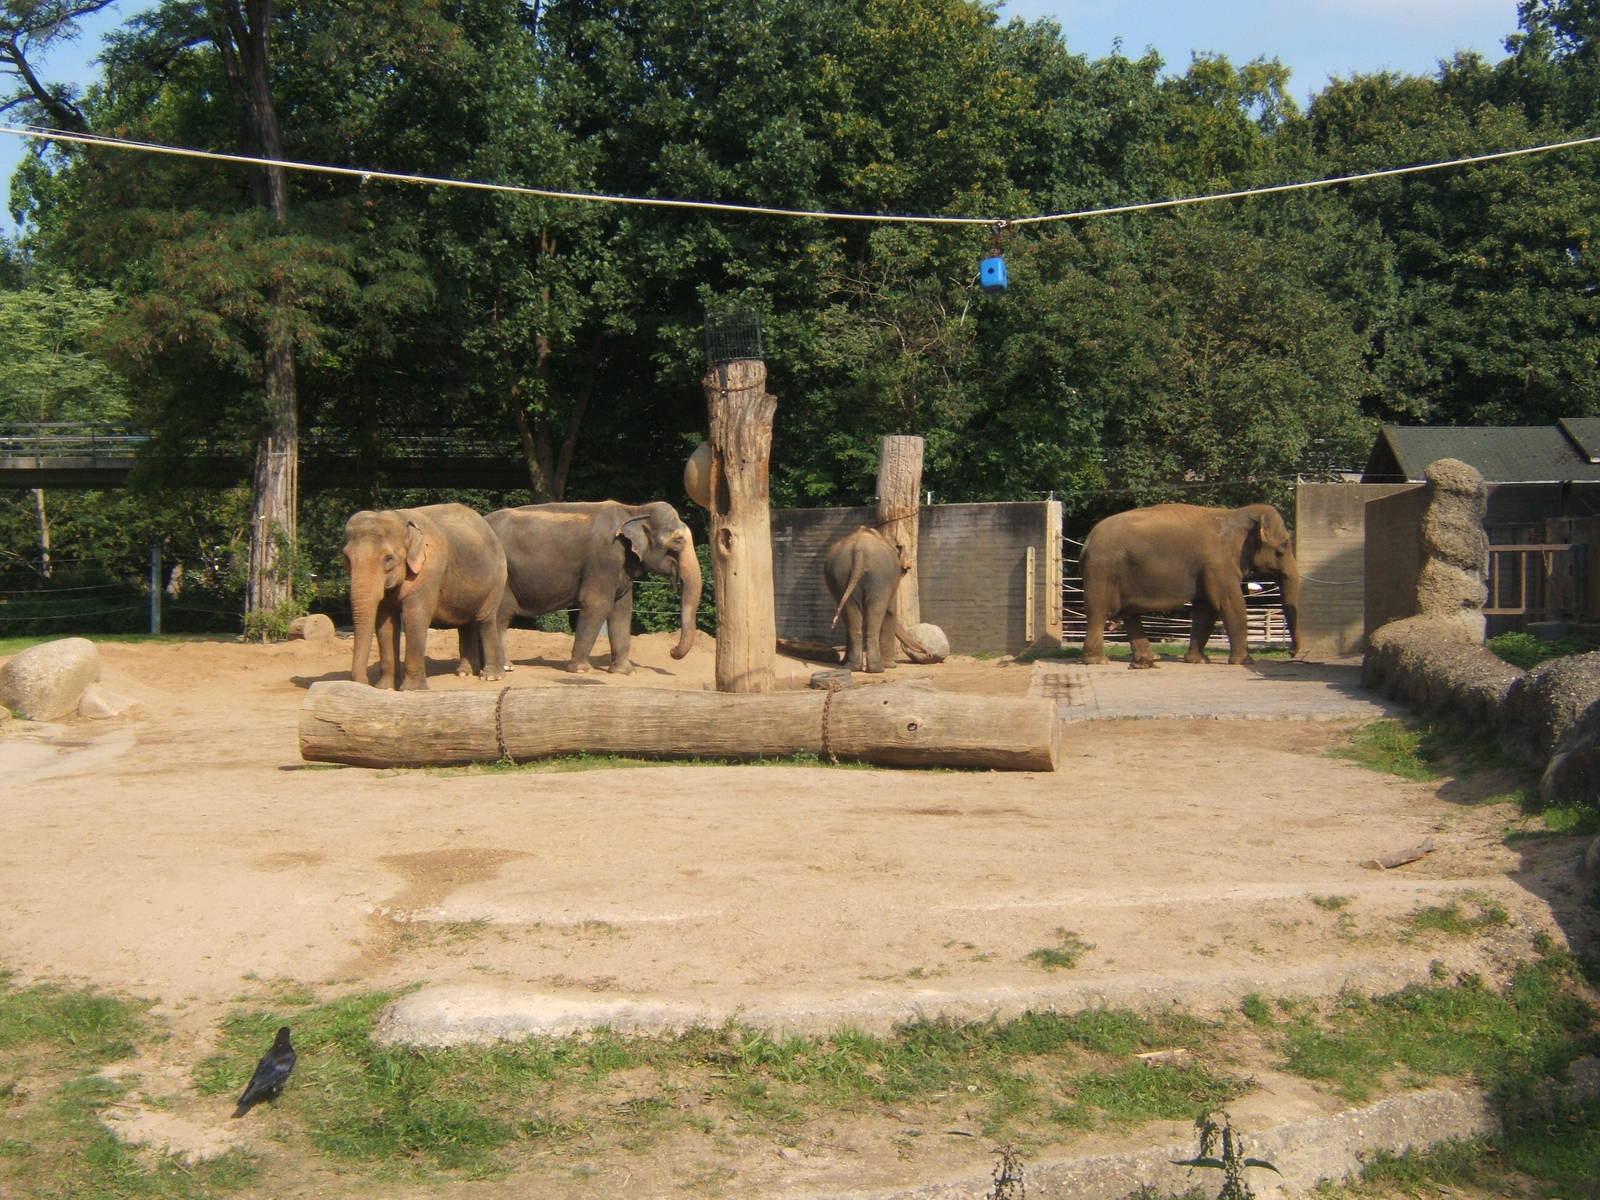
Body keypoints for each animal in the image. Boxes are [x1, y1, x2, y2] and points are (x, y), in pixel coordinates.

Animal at [342, 503, 508, 690]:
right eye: (346, 558)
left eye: (388, 558)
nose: (364, 682)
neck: (401, 519)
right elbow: (385, 622)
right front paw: (385, 688)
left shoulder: (429, 570)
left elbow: (415, 616)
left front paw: (411, 689)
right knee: (465, 623)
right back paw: (464, 673)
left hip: (497, 580)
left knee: (485, 620)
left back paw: (491, 677)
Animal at [483, 500, 703, 674]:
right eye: (678, 540)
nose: (672, 650)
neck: (634, 510)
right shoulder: (604, 560)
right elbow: (598, 605)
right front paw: (581, 670)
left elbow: (622, 610)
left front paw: (625, 672)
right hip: (501, 577)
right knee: (500, 616)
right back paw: (505, 666)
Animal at [823, 526, 929, 673]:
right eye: (905, 570)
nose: (928, 652)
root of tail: (860, 552)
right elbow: (890, 611)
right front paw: (891, 666)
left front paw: (844, 662)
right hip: (880, 577)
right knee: (876, 613)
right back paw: (878, 668)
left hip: (841, 575)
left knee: (850, 612)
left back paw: (852, 667)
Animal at [1079, 502, 1301, 669]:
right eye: (1282, 548)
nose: (1291, 653)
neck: (1236, 514)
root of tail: (1087, 541)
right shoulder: (1218, 563)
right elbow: (1229, 603)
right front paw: (1245, 662)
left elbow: (1206, 609)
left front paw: (1198, 661)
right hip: (1102, 571)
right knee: (1098, 612)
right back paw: (1099, 661)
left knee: (1129, 614)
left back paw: (1148, 660)